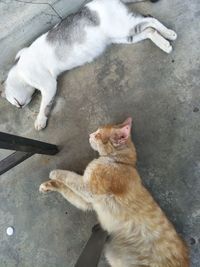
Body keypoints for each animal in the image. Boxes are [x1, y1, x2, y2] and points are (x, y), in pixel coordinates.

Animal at [1, 0, 177, 131]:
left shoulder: (48, 84)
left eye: (12, 101)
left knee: (150, 18)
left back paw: (169, 33)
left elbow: (44, 105)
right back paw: (164, 43)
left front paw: (40, 120)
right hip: (123, 36)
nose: (20, 107)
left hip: (123, 27)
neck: (19, 70)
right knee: (149, 31)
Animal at [39, 119, 189, 267]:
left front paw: (55, 173)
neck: (120, 162)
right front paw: (48, 185)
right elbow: (68, 190)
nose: (89, 135)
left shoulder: (88, 188)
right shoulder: (88, 202)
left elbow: (69, 176)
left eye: (98, 134)